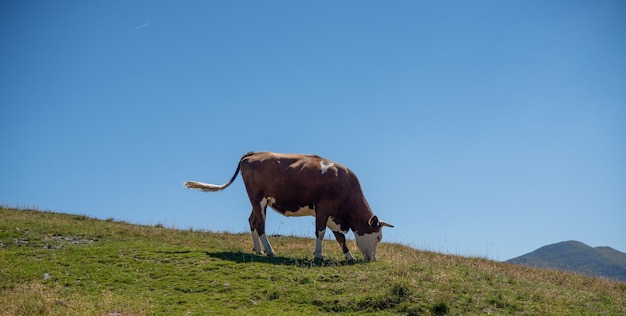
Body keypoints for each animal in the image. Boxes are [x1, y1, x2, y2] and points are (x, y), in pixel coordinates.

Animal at [183, 152, 392, 260]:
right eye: (378, 237)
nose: (373, 260)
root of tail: (254, 153)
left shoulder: (334, 215)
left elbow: (340, 238)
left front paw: (349, 257)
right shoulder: (323, 208)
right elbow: (321, 233)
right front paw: (318, 255)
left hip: (259, 202)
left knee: (251, 220)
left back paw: (258, 250)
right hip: (258, 198)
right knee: (259, 224)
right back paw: (270, 251)